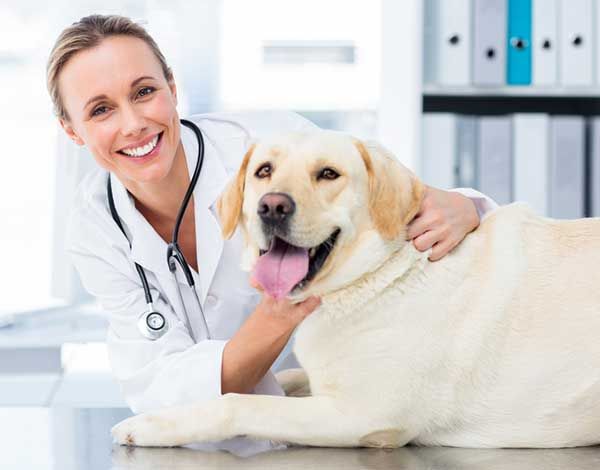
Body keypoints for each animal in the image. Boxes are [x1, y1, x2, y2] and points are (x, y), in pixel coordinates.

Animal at [111, 129, 600, 448]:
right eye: (264, 171)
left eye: (328, 174)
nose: (272, 206)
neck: (379, 273)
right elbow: (282, 378)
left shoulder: (361, 415)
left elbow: (236, 403)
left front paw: (151, 425)